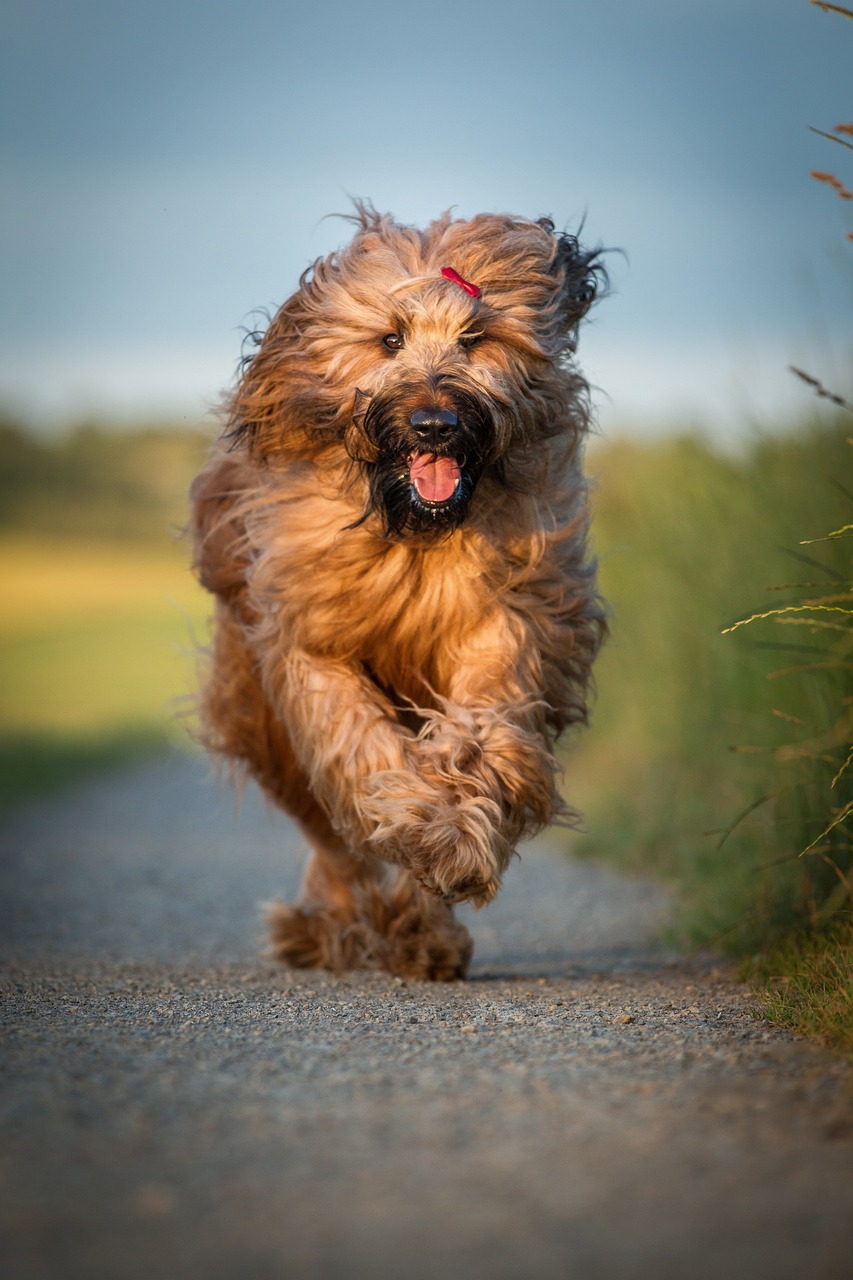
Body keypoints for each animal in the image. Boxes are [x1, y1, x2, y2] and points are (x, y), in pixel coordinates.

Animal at [190, 204, 604, 977]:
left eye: (475, 338)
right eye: (389, 339)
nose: (435, 423)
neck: (414, 534)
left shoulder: (505, 618)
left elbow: (479, 734)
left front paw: (452, 840)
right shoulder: (309, 638)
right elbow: (358, 744)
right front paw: (416, 822)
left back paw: (419, 931)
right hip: (259, 715)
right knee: (329, 832)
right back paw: (344, 924)